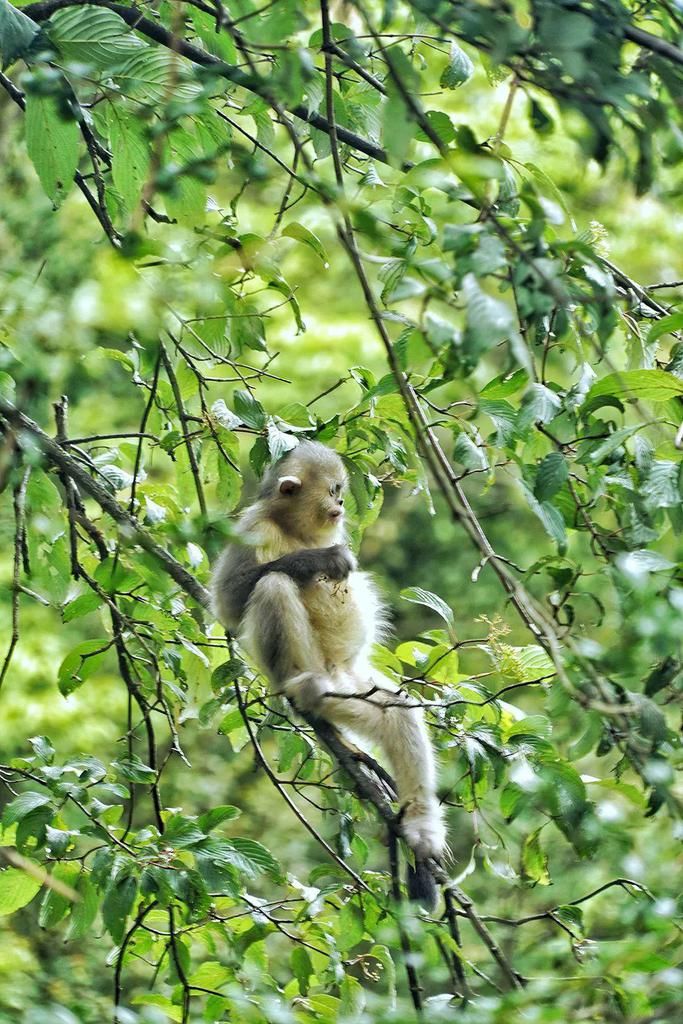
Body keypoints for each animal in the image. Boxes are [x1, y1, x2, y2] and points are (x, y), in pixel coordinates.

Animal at [215, 440, 448, 905]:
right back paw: (302, 685)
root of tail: (335, 679)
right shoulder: (252, 526)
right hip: (315, 679)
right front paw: (319, 560)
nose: (341, 505)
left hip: (357, 691)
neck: (296, 530)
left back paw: (420, 829)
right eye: (335, 491)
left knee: (399, 712)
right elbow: (228, 602)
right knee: (273, 584)